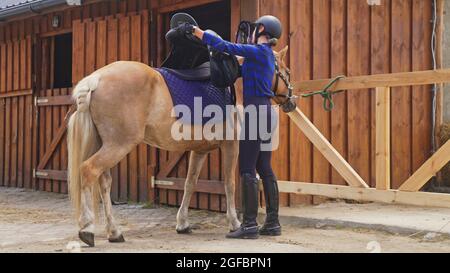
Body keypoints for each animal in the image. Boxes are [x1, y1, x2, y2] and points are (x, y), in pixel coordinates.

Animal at [67, 45, 292, 245]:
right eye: (287, 72)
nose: (291, 101)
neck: (234, 85)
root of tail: (95, 79)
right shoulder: (231, 146)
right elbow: (229, 183)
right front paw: (235, 223)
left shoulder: (199, 151)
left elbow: (189, 183)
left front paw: (182, 224)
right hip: (118, 145)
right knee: (88, 170)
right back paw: (87, 229)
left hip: (107, 146)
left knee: (103, 181)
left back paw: (114, 232)